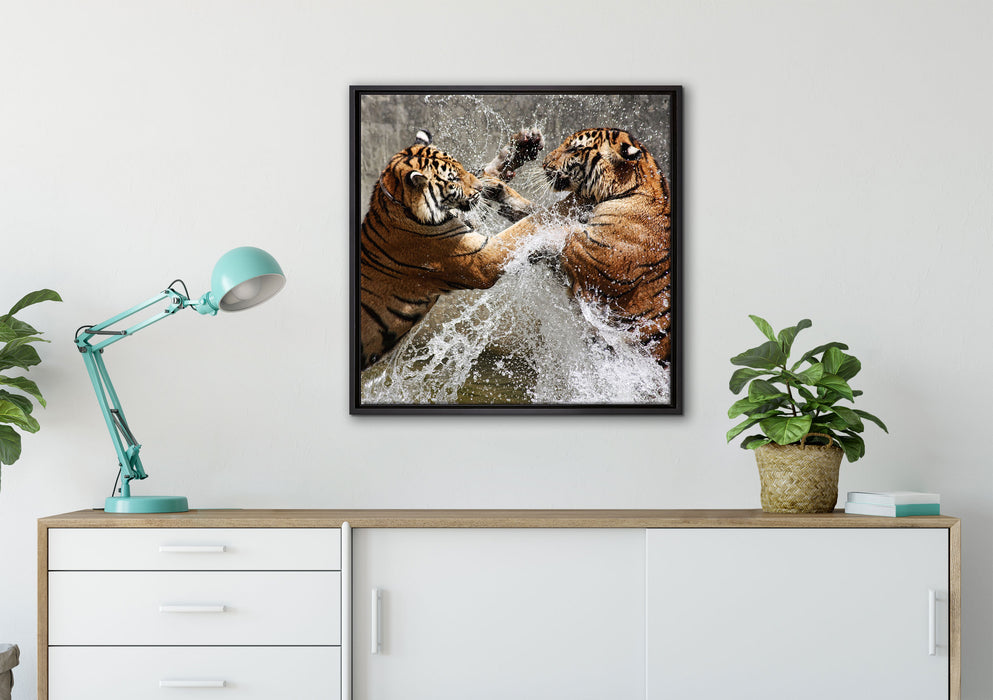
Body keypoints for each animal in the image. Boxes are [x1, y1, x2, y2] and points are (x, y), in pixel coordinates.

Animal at [359, 129, 543, 369]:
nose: (480, 188)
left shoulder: (465, 220)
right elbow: (525, 226)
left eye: (462, 167)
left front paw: (522, 146)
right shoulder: (480, 259)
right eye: (453, 179)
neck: (401, 205)